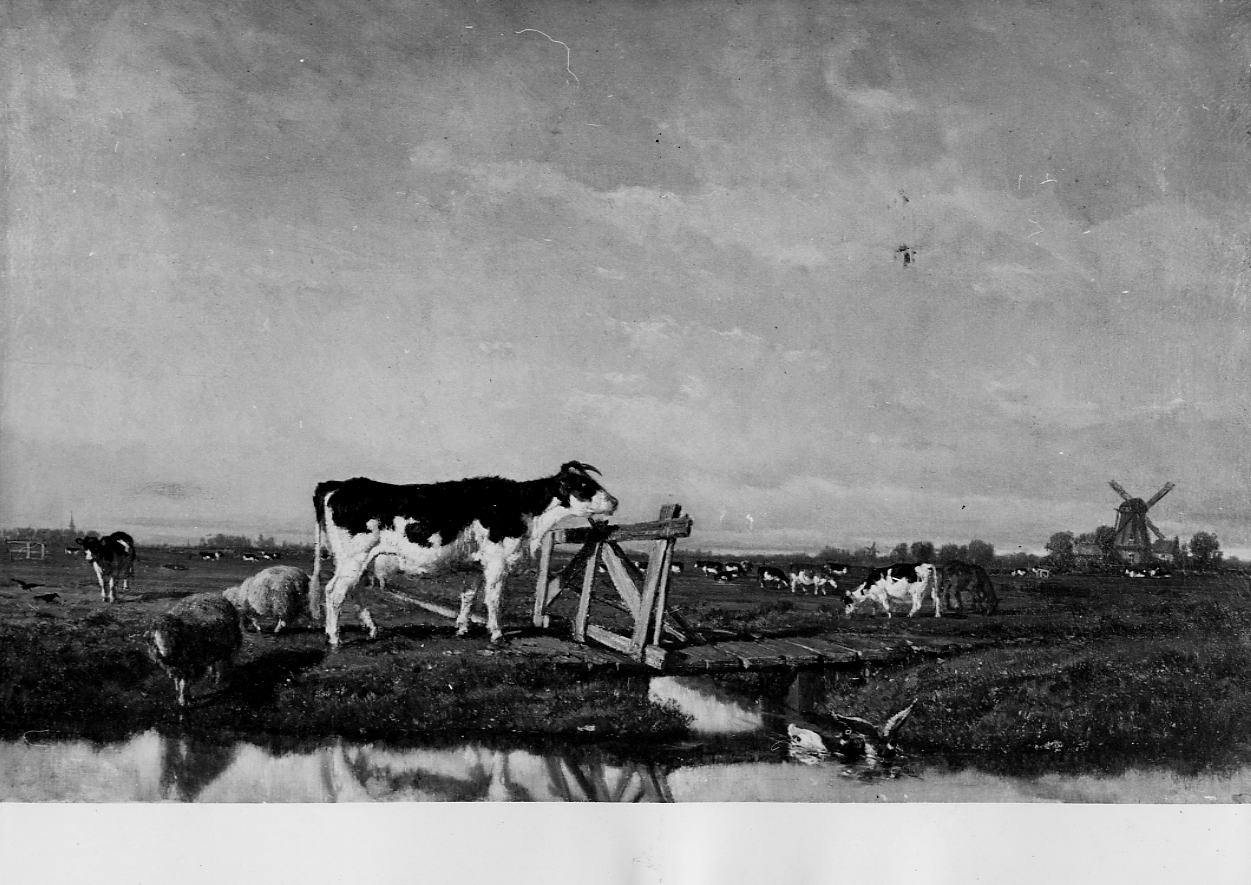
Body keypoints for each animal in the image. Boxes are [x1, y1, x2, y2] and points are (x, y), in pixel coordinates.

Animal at [310, 460, 617, 645]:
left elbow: (468, 596)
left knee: (354, 589)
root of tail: (339, 484)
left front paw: (462, 628)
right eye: (585, 486)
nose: (614, 501)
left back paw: (371, 629)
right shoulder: (497, 561)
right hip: (353, 557)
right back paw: (335, 637)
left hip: (358, 560)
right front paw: (496, 633)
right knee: (334, 592)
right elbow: (494, 599)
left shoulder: (475, 564)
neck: (525, 511)